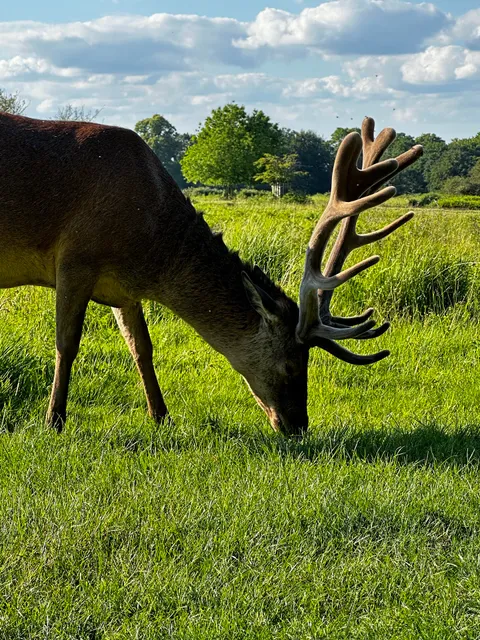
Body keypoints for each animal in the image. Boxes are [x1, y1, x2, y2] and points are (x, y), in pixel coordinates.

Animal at [0, 112, 422, 436]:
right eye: (291, 364)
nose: (298, 425)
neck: (149, 244)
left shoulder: (124, 289)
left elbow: (142, 349)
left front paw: (162, 417)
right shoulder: (75, 259)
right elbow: (66, 344)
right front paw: (54, 421)